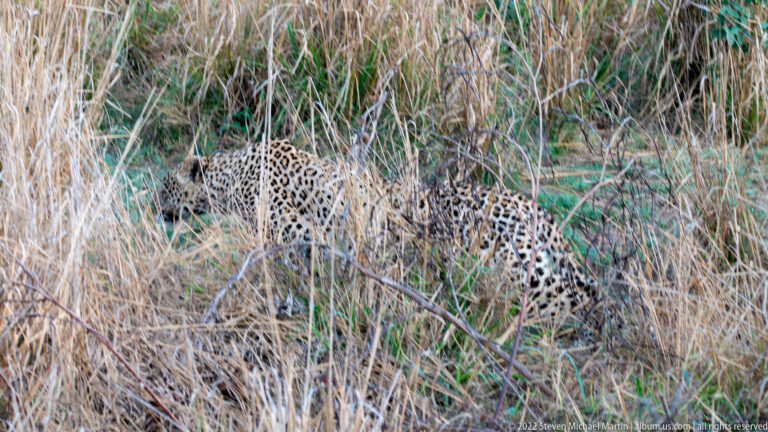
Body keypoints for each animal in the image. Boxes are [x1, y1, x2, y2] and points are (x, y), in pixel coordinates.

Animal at [156, 138, 598, 319]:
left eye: (164, 186)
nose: (155, 207)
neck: (227, 174)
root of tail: (545, 216)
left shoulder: (296, 228)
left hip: (491, 251)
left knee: (566, 297)